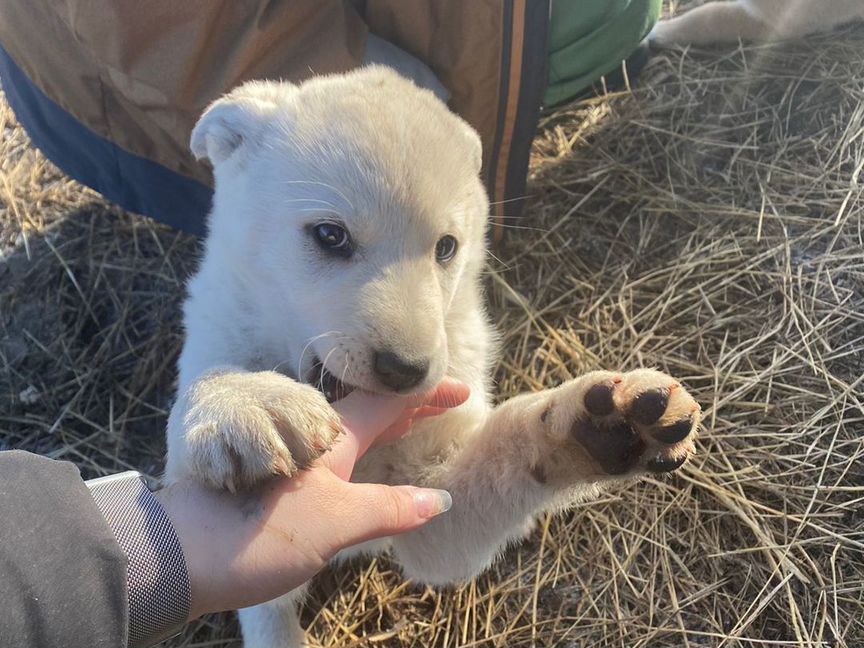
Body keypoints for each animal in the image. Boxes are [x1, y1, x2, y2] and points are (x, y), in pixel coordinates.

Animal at [167, 67, 704, 648]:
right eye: (330, 235)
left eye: (446, 247)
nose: (406, 371)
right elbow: (213, 380)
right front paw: (248, 402)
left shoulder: (428, 501)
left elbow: (489, 471)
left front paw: (598, 425)